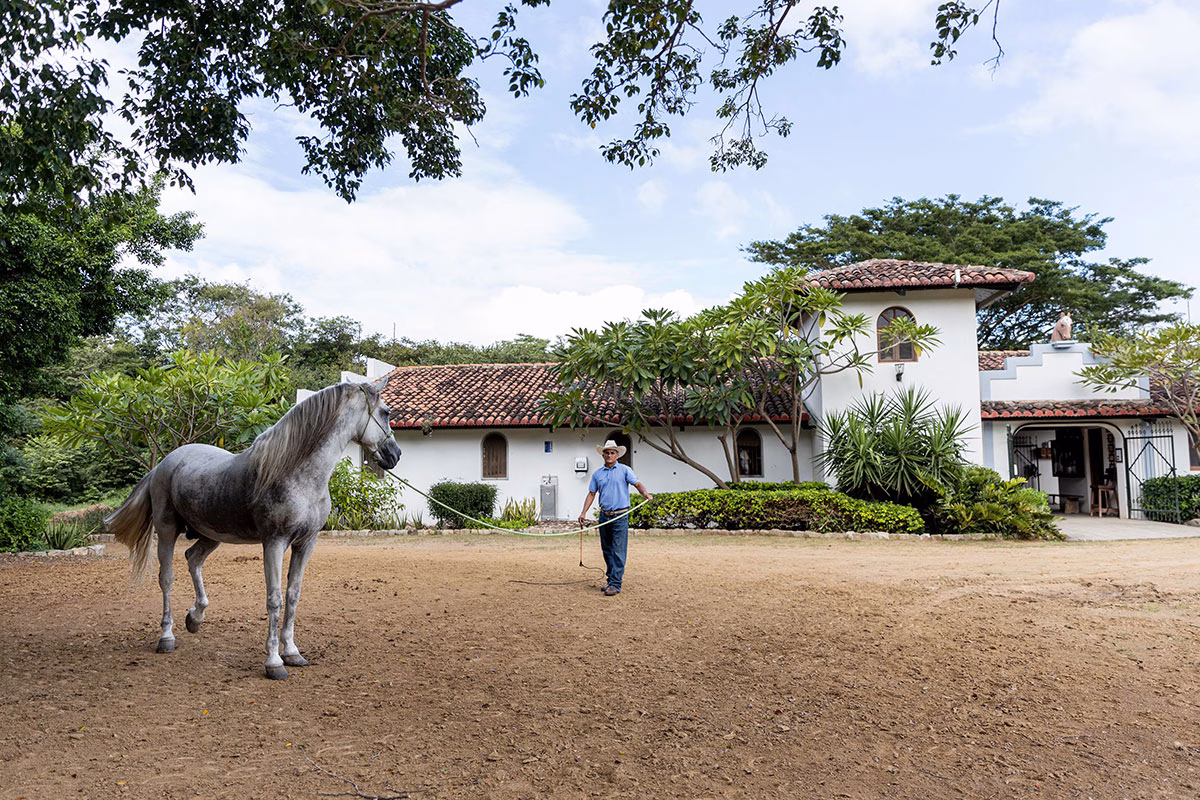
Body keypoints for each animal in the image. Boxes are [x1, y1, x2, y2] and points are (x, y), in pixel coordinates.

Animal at [105, 376, 402, 679]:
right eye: (386, 412)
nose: (395, 454)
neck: (297, 473)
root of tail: (163, 465)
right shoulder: (274, 542)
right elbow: (275, 599)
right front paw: (274, 662)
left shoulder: (305, 543)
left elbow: (293, 596)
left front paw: (291, 652)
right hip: (166, 531)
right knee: (166, 578)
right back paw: (167, 637)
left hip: (211, 534)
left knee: (193, 559)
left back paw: (195, 618)